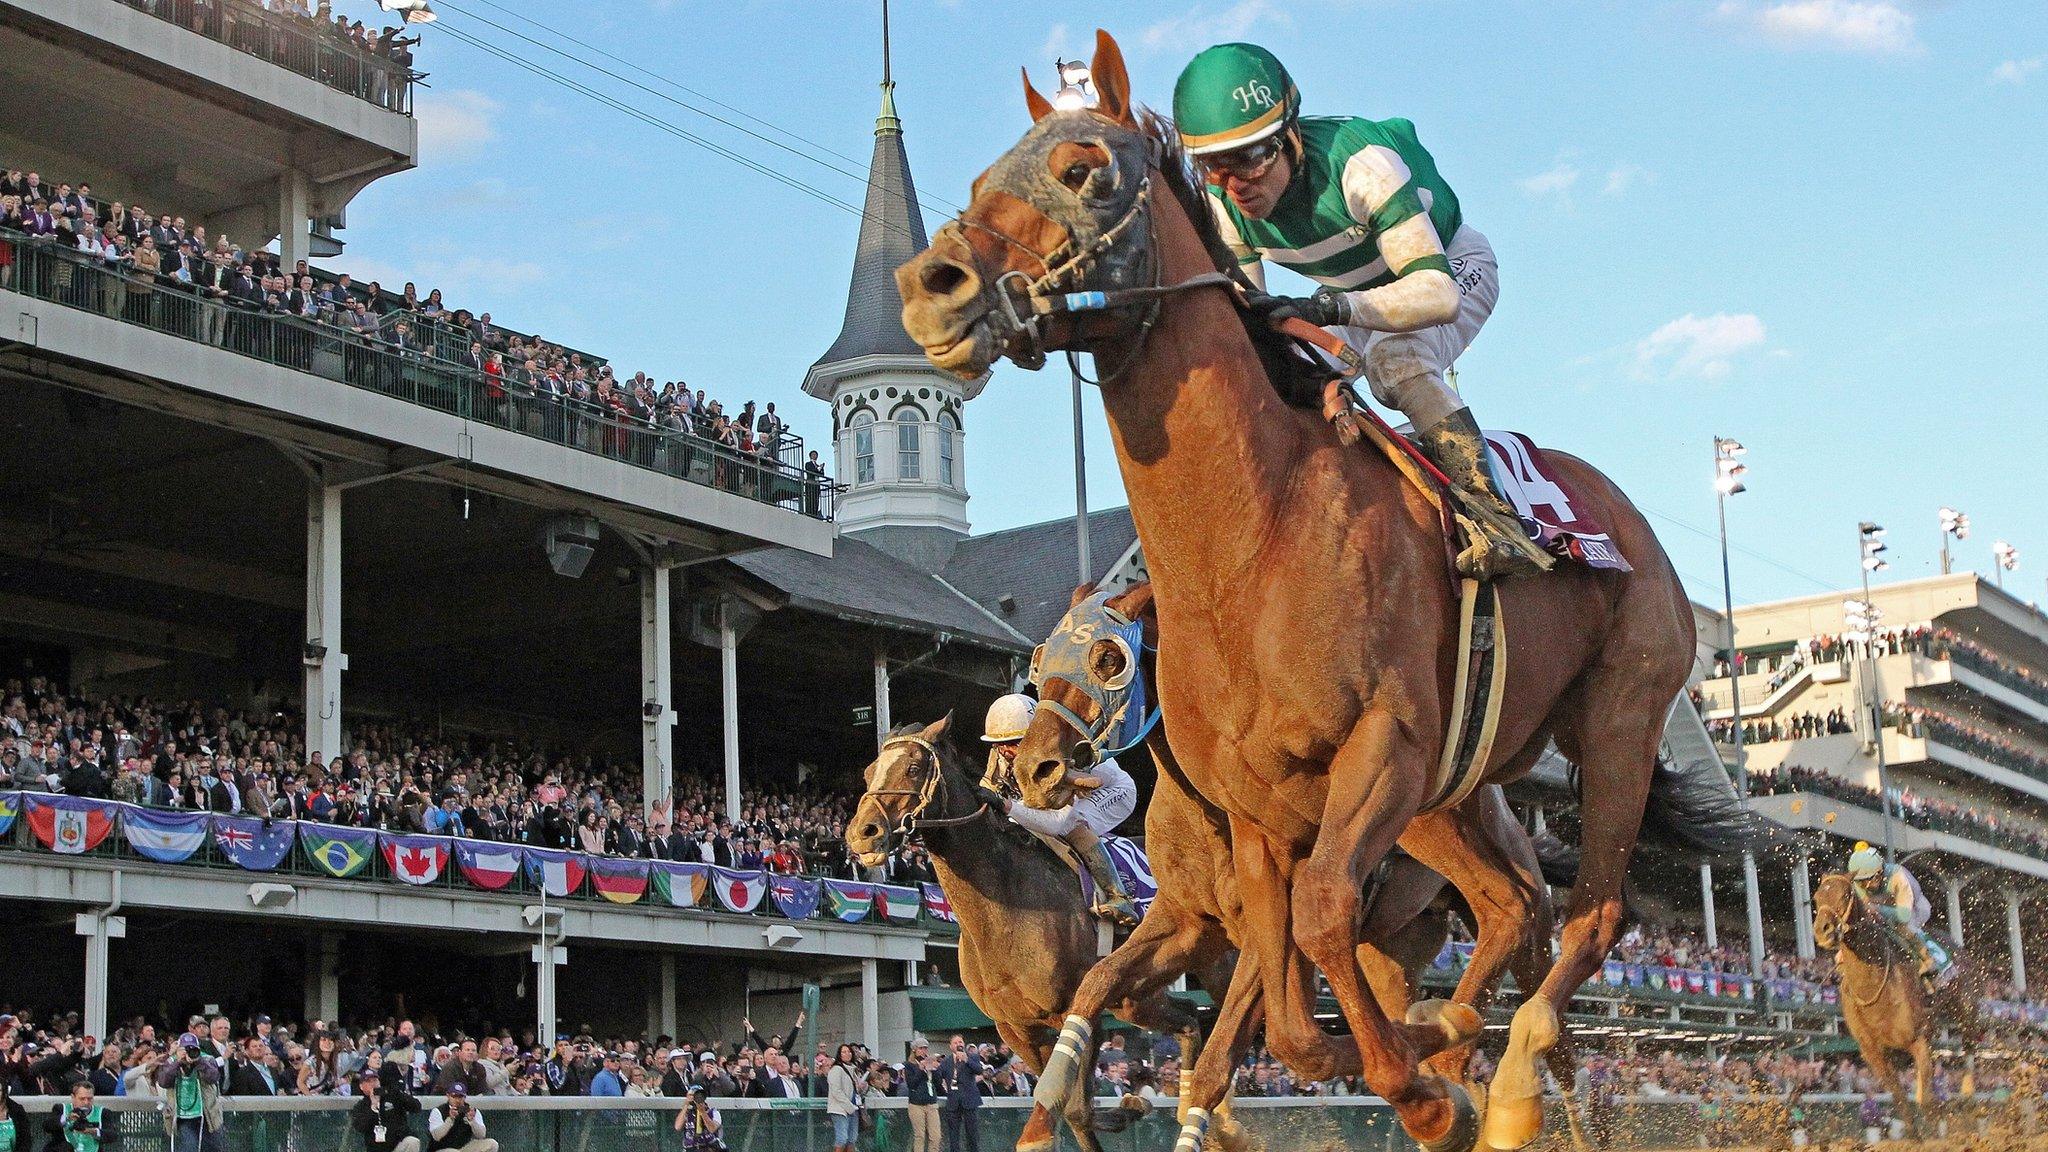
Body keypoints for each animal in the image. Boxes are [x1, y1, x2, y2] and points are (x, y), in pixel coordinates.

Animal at [888, 29, 1736, 1147]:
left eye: (1083, 169)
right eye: (986, 178)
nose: (928, 285)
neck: (1251, 545)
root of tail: (1624, 515)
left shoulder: (1382, 746)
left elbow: (1322, 919)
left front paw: (1424, 1082)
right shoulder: (1258, 822)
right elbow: (1282, 1015)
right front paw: (1410, 1059)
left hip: (1616, 723)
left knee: (1592, 913)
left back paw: (1506, 1079)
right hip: (1453, 792)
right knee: (1517, 909)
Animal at [1810, 869, 1982, 1123]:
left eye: (1845, 895)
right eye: (1816, 897)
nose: (1823, 930)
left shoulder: (1918, 1041)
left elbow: (1927, 1102)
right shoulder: (1875, 1053)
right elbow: (1901, 1101)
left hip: (1966, 1011)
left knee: (1970, 1046)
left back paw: (1969, 1091)